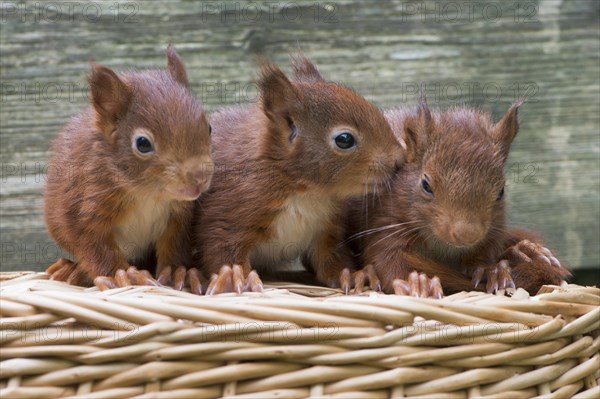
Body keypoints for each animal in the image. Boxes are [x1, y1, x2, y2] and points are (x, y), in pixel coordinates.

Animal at [42, 45, 211, 294]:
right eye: (143, 144)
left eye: (209, 127)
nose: (199, 178)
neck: (148, 193)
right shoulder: (85, 206)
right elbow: (95, 247)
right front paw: (123, 276)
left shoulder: (179, 216)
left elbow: (174, 246)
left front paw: (177, 273)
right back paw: (71, 270)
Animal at [192, 55, 404, 294]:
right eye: (344, 139)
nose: (399, 160)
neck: (306, 192)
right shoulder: (228, 215)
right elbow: (223, 251)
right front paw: (237, 277)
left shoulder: (326, 232)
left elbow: (332, 260)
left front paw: (353, 275)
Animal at [344, 97, 568, 296]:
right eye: (426, 185)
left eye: (501, 191)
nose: (467, 235)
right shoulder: (384, 223)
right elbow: (388, 264)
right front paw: (418, 283)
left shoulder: (493, 232)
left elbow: (485, 254)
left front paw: (492, 270)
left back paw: (525, 252)